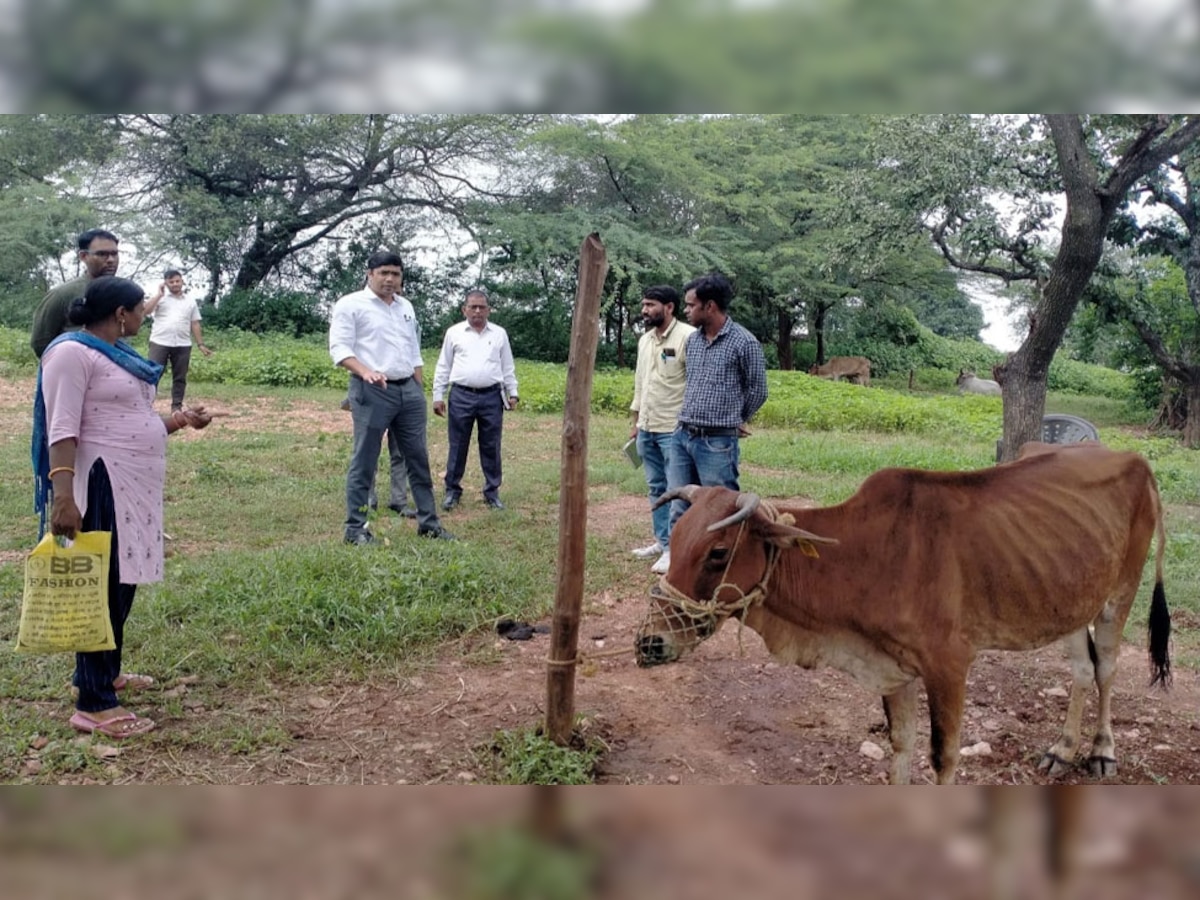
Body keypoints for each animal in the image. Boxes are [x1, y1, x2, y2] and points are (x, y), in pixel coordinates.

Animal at [638, 441, 1171, 782]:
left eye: (718, 553)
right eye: (675, 540)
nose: (649, 643)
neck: (867, 556)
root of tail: (1136, 460)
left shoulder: (949, 666)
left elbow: (943, 757)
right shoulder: (893, 668)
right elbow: (901, 747)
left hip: (1119, 594)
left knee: (1106, 667)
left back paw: (1102, 752)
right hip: (1069, 598)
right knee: (1082, 669)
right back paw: (1062, 750)